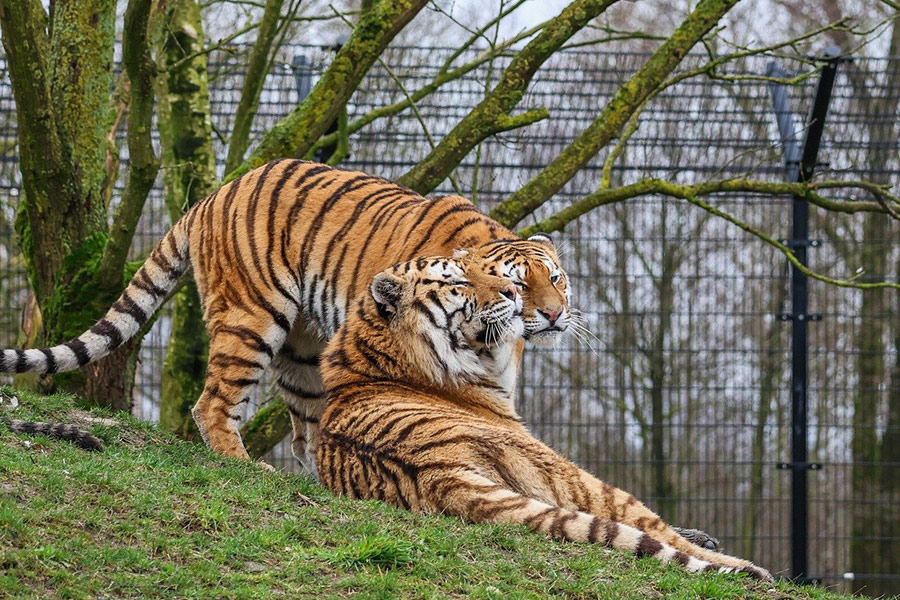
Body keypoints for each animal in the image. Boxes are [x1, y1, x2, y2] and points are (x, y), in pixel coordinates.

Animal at [0, 159, 571, 476]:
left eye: (557, 278)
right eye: (517, 284)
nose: (554, 313)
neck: (485, 342)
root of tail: (211, 196)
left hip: (304, 350)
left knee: (308, 434)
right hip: (251, 319)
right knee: (213, 404)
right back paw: (242, 465)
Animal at [315, 254, 770, 579]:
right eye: (458, 281)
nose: (512, 293)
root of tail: (437, 472)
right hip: (580, 477)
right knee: (654, 530)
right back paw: (750, 569)